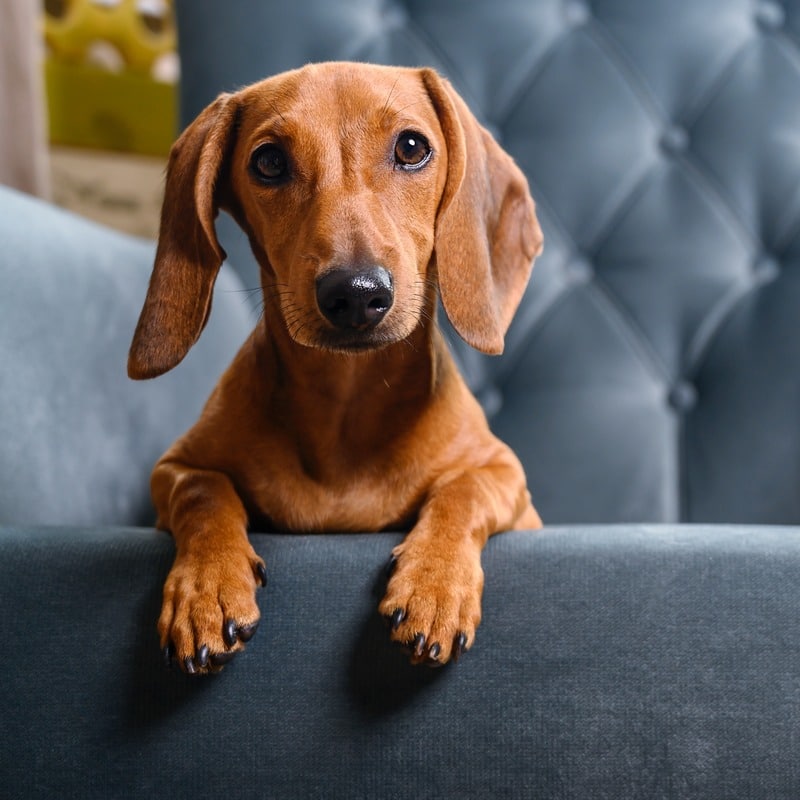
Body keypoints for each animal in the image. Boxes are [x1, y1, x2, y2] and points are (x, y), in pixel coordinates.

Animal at [130, 64, 544, 676]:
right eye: (269, 162)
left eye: (412, 147)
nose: (356, 294)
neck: (345, 408)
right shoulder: (175, 469)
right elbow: (204, 491)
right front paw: (205, 589)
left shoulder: (507, 476)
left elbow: (461, 491)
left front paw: (434, 585)